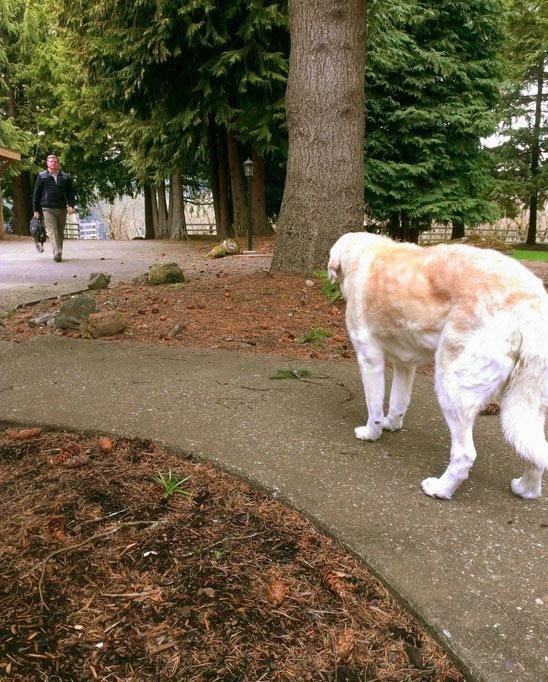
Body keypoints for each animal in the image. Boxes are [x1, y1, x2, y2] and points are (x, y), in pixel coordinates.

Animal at [328, 231, 544, 496]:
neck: (364, 253)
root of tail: (532, 303)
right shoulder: (405, 364)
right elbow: (398, 403)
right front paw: (392, 425)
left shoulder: (369, 359)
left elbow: (375, 407)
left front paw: (371, 433)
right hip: (528, 404)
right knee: (535, 455)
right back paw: (525, 489)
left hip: (452, 387)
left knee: (465, 455)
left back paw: (440, 489)